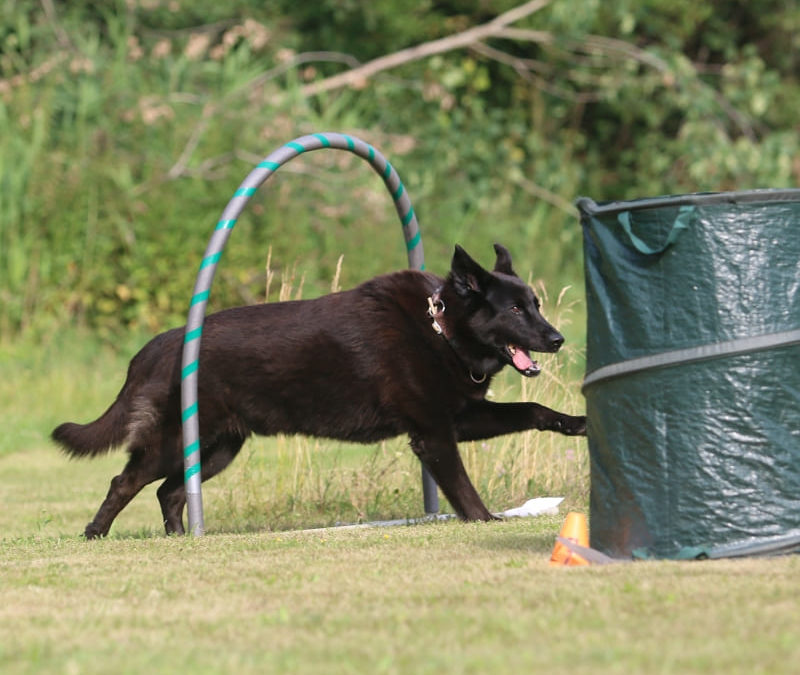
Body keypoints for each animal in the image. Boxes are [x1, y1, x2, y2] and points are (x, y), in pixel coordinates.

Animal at [51, 244, 588, 540]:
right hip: (175, 442)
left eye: (536, 305)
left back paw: (180, 538)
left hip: (218, 447)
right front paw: (484, 520)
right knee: (125, 481)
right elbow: (461, 487)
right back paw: (95, 534)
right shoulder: (435, 435)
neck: (441, 331)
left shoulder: (461, 420)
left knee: (170, 491)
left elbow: (533, 408)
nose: (559, 339)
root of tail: (162, 343)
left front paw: (577, 422)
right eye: (514, 310)